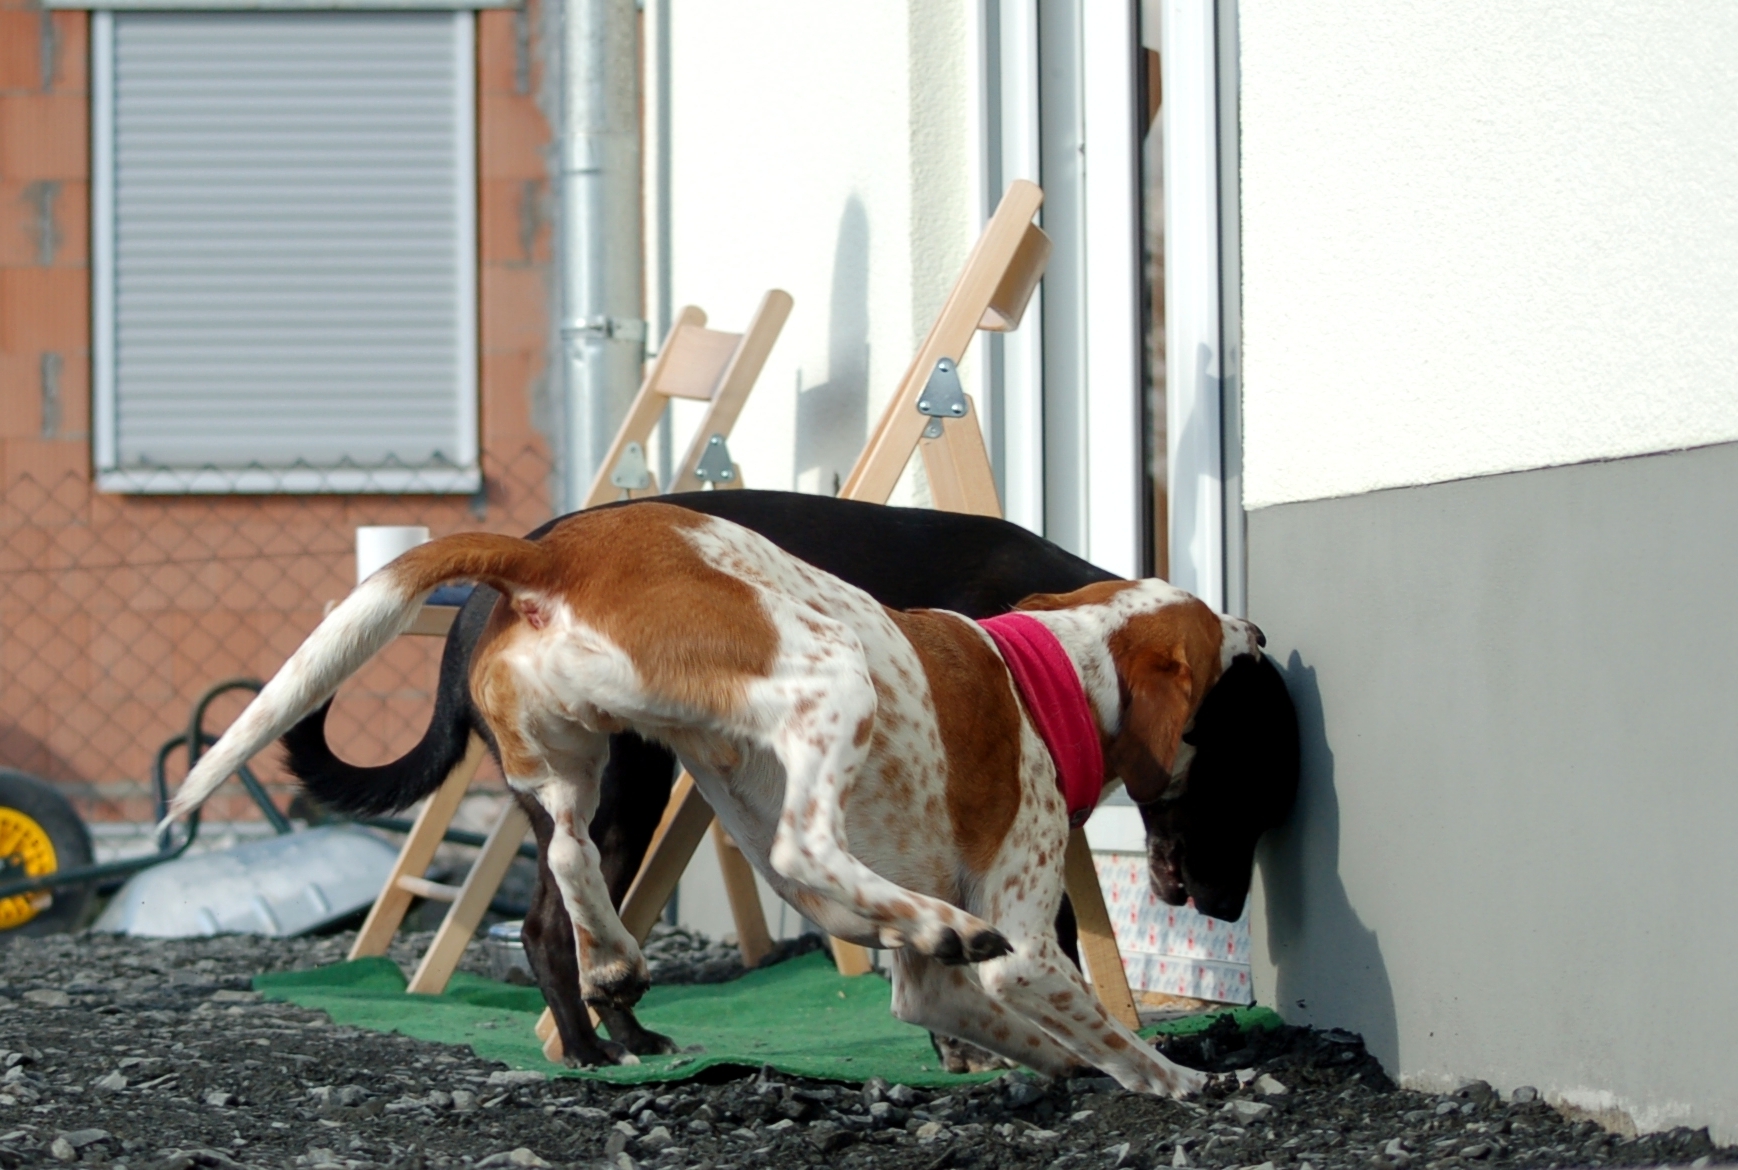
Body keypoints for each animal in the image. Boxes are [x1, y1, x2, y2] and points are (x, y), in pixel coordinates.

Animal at [165, 504, 1265, 1098]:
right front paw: (1191, 1082)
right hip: (822, 689)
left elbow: (1026, 1031)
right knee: (802, 850)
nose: (1255, 625)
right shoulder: (1024, 950)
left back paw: (616, 968)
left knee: (565, 862)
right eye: (1211, 631)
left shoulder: (939, 994)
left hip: (583, 760)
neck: (1058, 671)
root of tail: (550, 555)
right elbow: (1103, 1027)